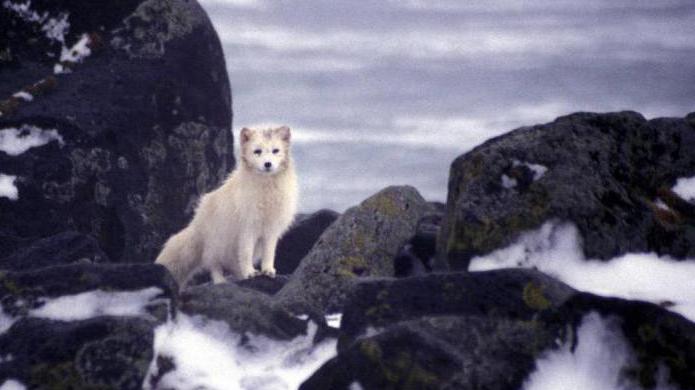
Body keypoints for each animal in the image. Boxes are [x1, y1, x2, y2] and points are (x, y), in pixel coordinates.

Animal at [156, 126, 298, 288]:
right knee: (213, 265)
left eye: (275, 151)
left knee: (233, 267)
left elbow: (269, 253)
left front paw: (267, 270)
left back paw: (241, 277)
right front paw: (250, 272)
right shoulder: (247, 228)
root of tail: (196, 223)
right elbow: (246, 253)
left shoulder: (270, 230)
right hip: (216, 246)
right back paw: (221, 282)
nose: (268, 164)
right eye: (257, 151)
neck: (267, 191)